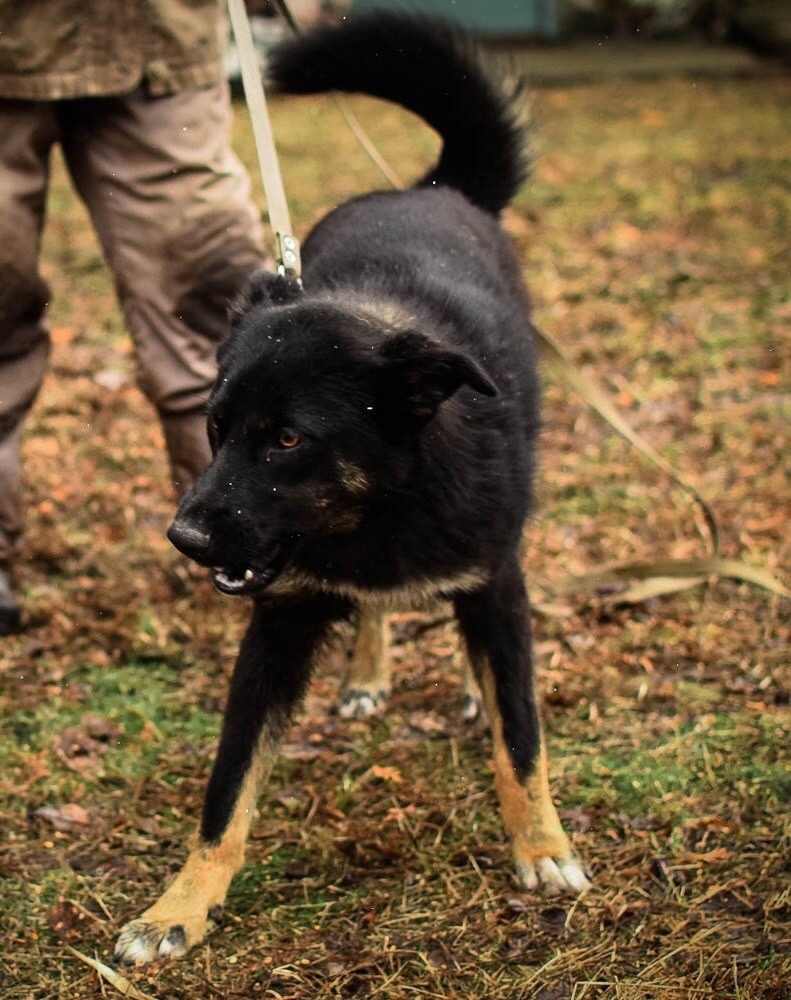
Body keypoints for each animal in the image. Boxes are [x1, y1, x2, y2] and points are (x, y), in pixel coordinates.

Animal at [114, 11, 592, 964]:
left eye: (287, 439)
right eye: (215, 427)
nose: (185, 539)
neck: (378, 514)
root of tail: (431, 187)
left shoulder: (498, 580)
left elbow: (522, 736)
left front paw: (541, 846)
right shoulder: (276, 627)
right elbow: (227, 787)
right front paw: (178, 906)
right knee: (375, 611)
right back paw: (370, 670)